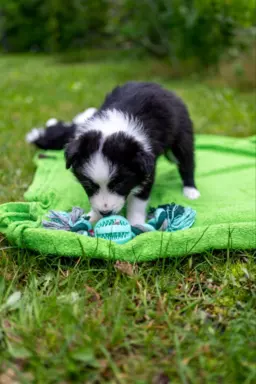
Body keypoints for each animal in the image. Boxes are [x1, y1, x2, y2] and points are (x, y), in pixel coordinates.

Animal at [26, 81, 200, 225]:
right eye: (89, 185)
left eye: (119, 184)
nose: (105, 212)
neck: (112, 127)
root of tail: (162, 88)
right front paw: (92, 216)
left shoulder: (146, 170)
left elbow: (138, 199)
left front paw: (135, 224)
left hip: (182, 135)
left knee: (186, 162)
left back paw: (191, 191)